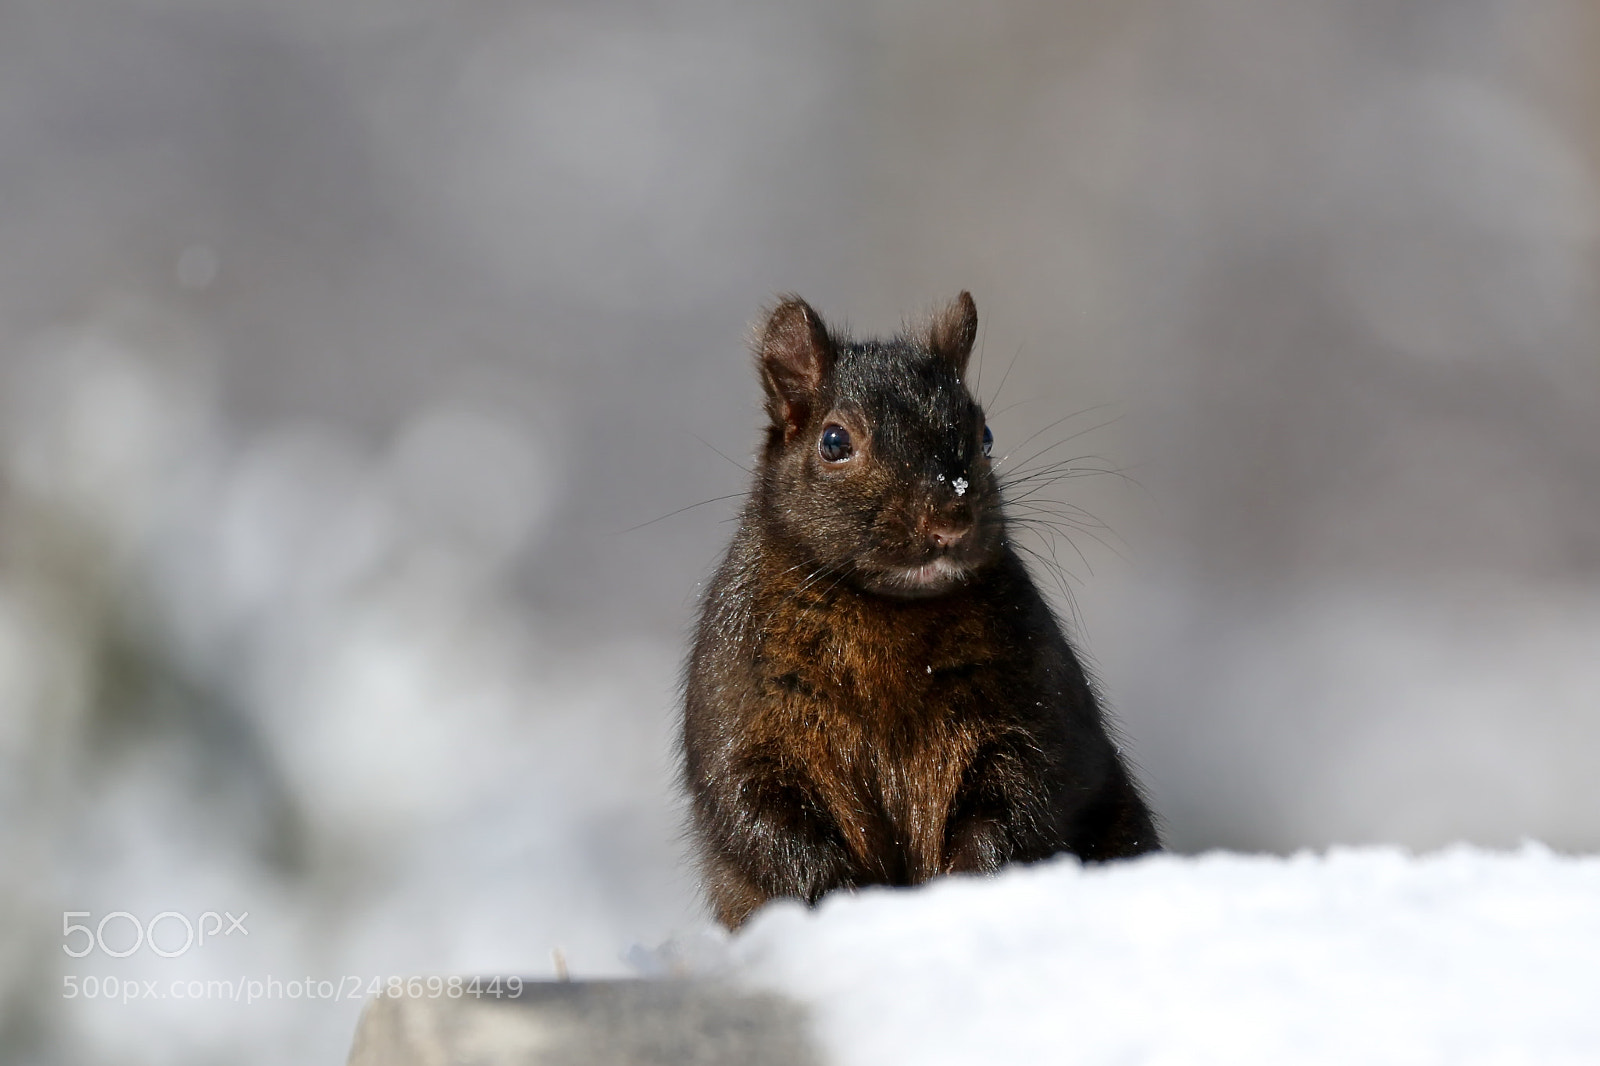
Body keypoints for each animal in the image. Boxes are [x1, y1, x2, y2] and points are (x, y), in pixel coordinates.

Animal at [682, 293, 1158, 929]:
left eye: (985, 435)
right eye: (834, 442)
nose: (949, 520)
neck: (886, 609)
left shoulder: (1030, 704)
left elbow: (1021, 798)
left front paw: (966, 885)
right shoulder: (744, 710)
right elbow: (760, 818)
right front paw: (838, 896)